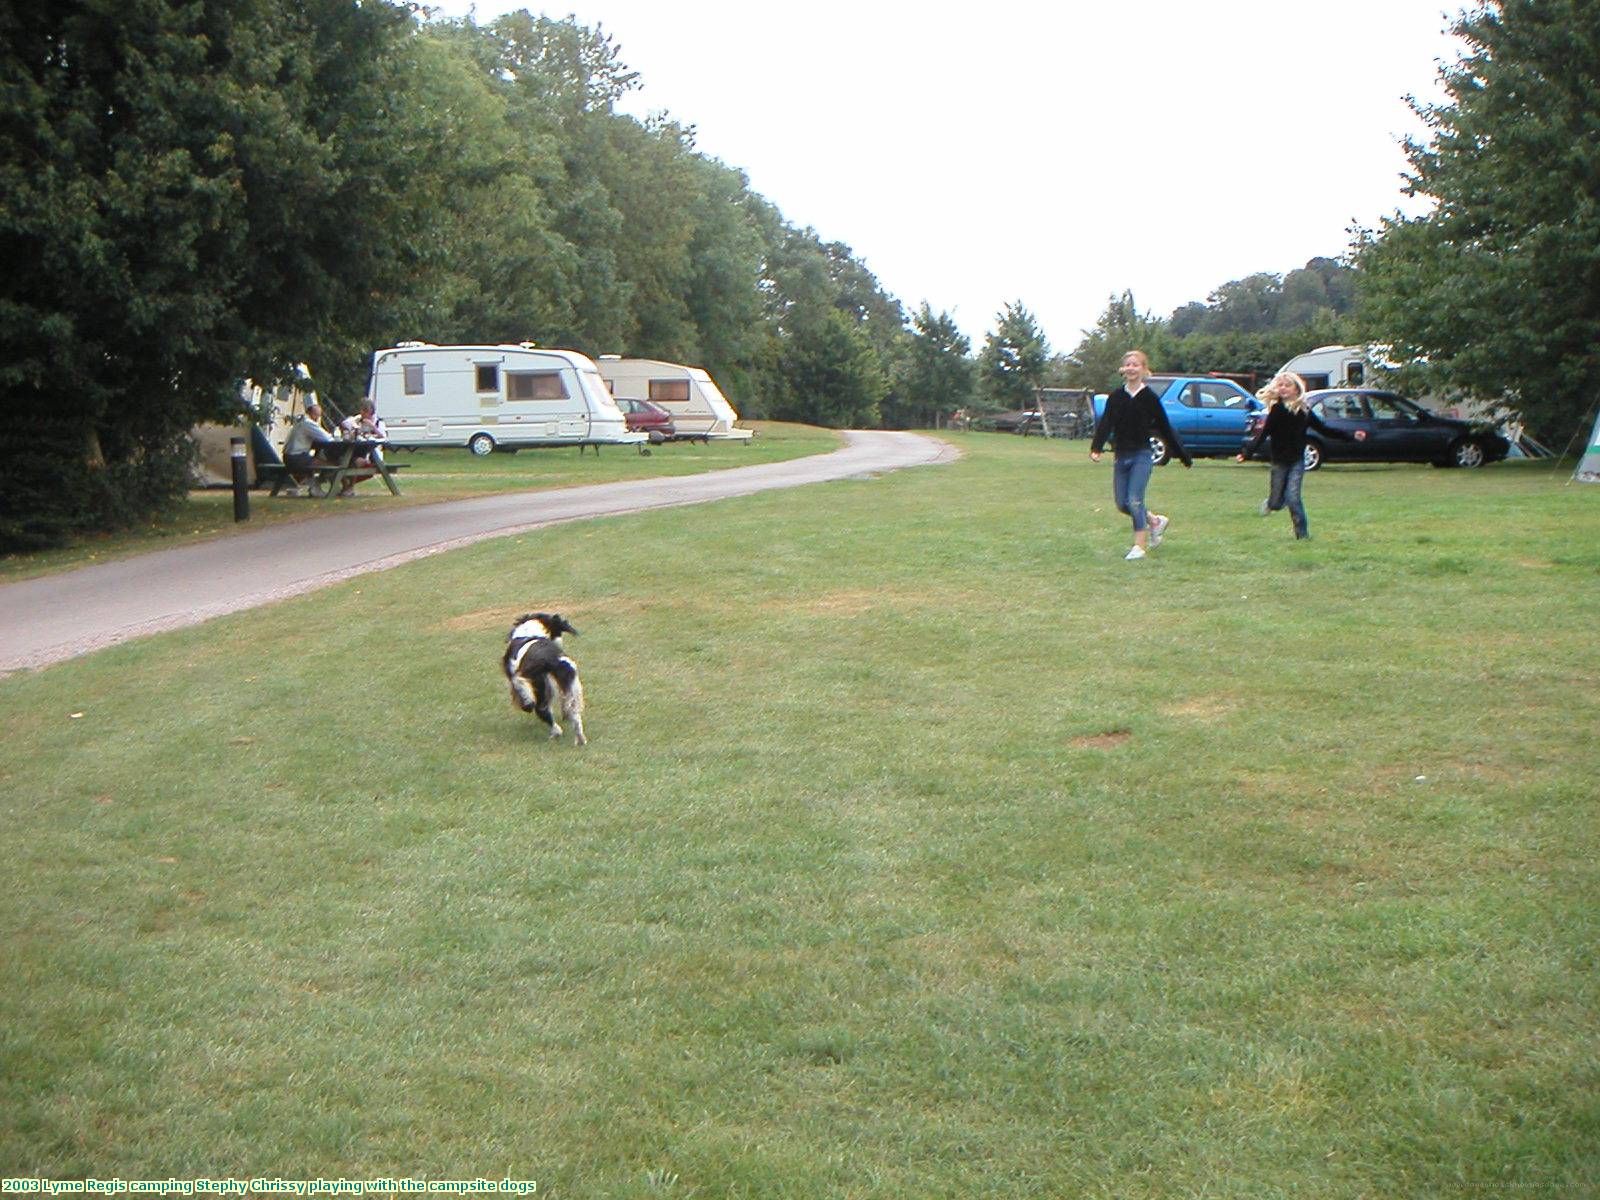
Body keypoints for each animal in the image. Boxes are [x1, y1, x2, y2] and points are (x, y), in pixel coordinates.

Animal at [499, 614, 588, 748]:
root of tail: (550, 659)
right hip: (571, 685)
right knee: (574, 714)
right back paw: (580, 739)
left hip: (538, 687)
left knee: (542, 711)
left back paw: (556, 732)